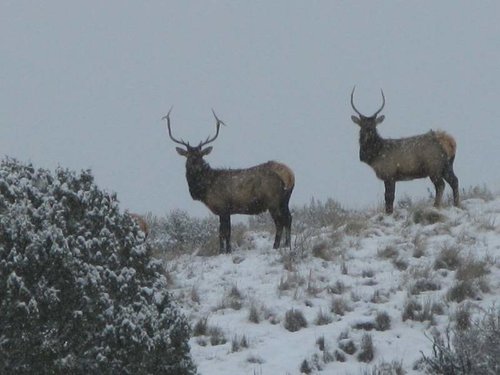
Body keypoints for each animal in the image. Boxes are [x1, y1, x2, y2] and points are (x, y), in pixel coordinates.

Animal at [163, 110, 292, 254]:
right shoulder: (225, 210)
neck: (205, 189)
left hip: (273, 201)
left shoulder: (223, 206)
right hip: (284, 200)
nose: (196, 166)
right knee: (288, 218)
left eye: (201, 156)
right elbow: (225, 232)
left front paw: (224, 251)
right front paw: (225, 250)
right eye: (189, 156)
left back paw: (276, 246)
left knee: (280, 222)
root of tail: (289, 175)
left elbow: (224, 232)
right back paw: (287, 245)